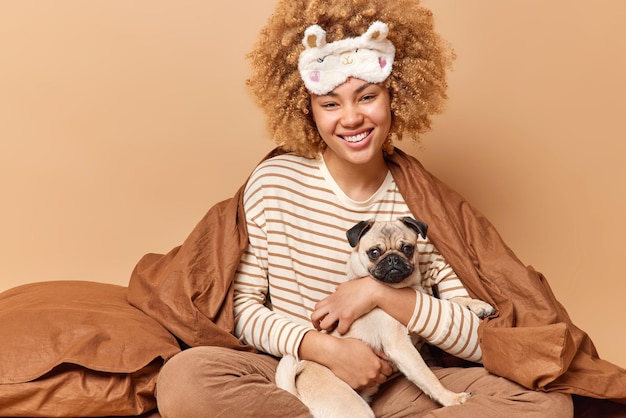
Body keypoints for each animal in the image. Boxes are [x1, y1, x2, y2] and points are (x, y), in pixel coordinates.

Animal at [276, 217, 494, 416]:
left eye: (407, 248)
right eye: (374, 253)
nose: (392, 259)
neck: (401, 288)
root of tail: (300, 397)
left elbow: (453, 301)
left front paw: (478, 305)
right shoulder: (401, 346)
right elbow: (427, 376)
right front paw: (452, 399)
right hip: (354, 409)